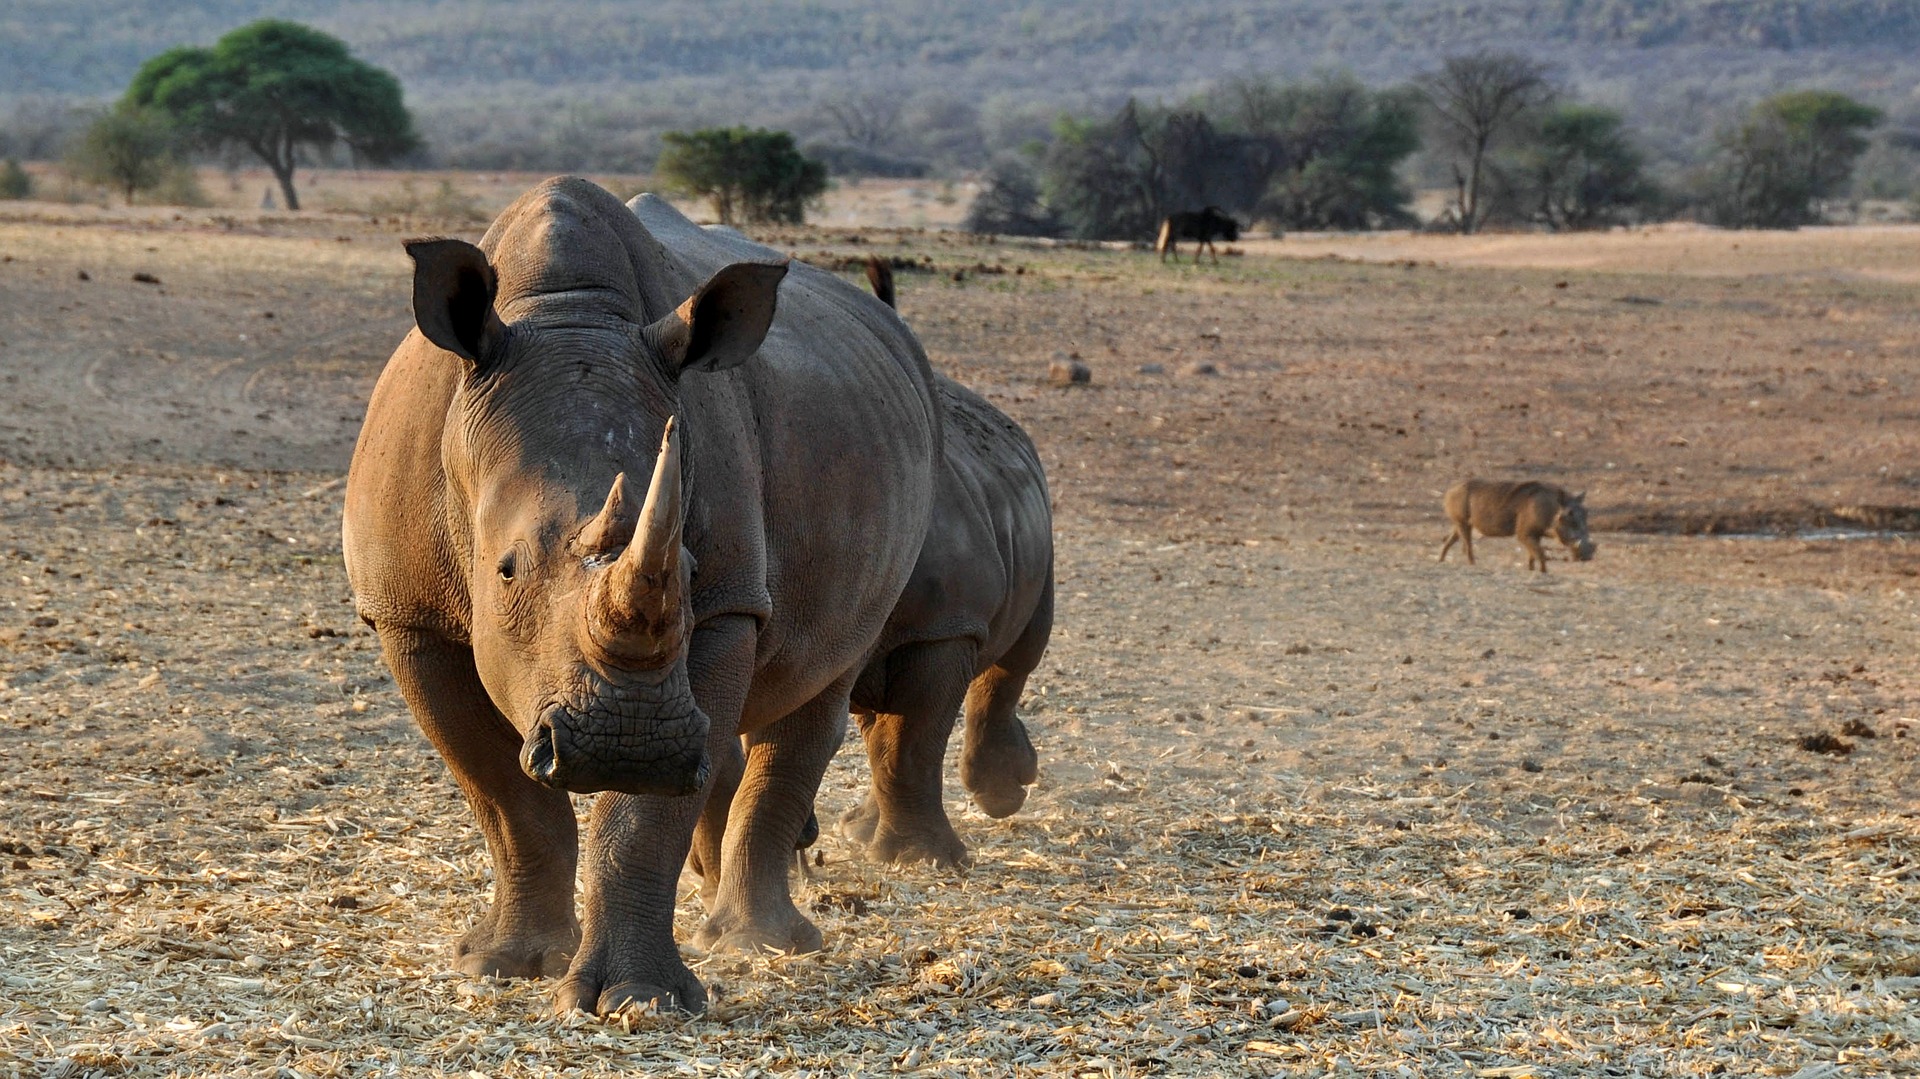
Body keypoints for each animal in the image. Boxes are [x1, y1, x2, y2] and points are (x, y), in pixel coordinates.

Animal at [1436, 474, 1597, 568]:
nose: (1587, 557)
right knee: (1467, 546)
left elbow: (1532, 556)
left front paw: (1532, 570)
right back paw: (1471, 565)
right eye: (1569, 515)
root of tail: (1449, 491)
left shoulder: (1534, 535)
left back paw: (1440, 560)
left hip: (1460, 524)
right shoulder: (1524, 533)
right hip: (1462, 522)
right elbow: (1540, 555)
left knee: (1450, 540)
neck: (1550, 510)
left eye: (1586, 513)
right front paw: (1543, 573)